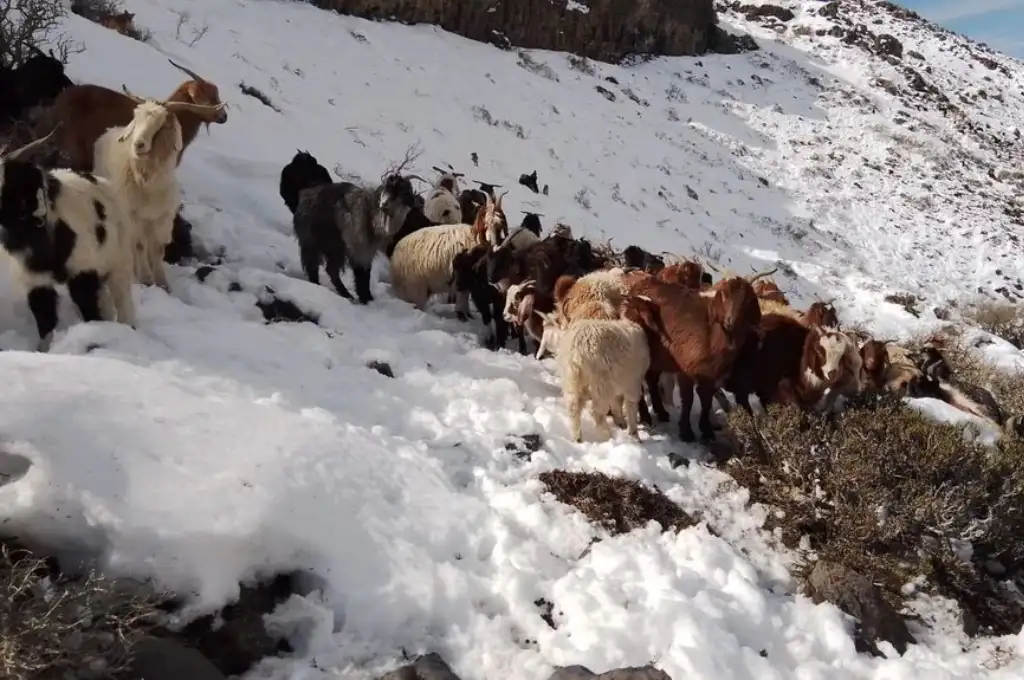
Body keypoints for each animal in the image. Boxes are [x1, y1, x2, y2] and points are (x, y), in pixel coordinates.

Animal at [0, 128, 137, 351]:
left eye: (16, 183)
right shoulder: (34, 281)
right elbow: (45, 319)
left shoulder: (83, 267)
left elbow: (88, 306)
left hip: (119, 260)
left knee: (122, 300)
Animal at [293, 174, 417, 303]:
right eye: (402, 190)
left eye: (408, 189)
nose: (414, 202)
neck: (372, 215)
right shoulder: (359, 248)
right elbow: (362, 274)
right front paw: (366, 299)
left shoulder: (368, 251)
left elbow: (366, 272)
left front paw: (367, 298)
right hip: (319, 243)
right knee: (316, 266)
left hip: (334, 247)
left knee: (329, 269)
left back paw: (345, 294)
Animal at [625, 276, 761, 441]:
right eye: (724, 296)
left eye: (748, 300)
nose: (730, 322)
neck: (712, 335)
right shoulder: (686, 366)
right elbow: (688, 399)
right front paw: (686, 432)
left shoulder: (710, 373)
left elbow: (706, 399)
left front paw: (707, 430)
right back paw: (646, 417)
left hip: (658, 358)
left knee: (651, 380)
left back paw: (661, 412)